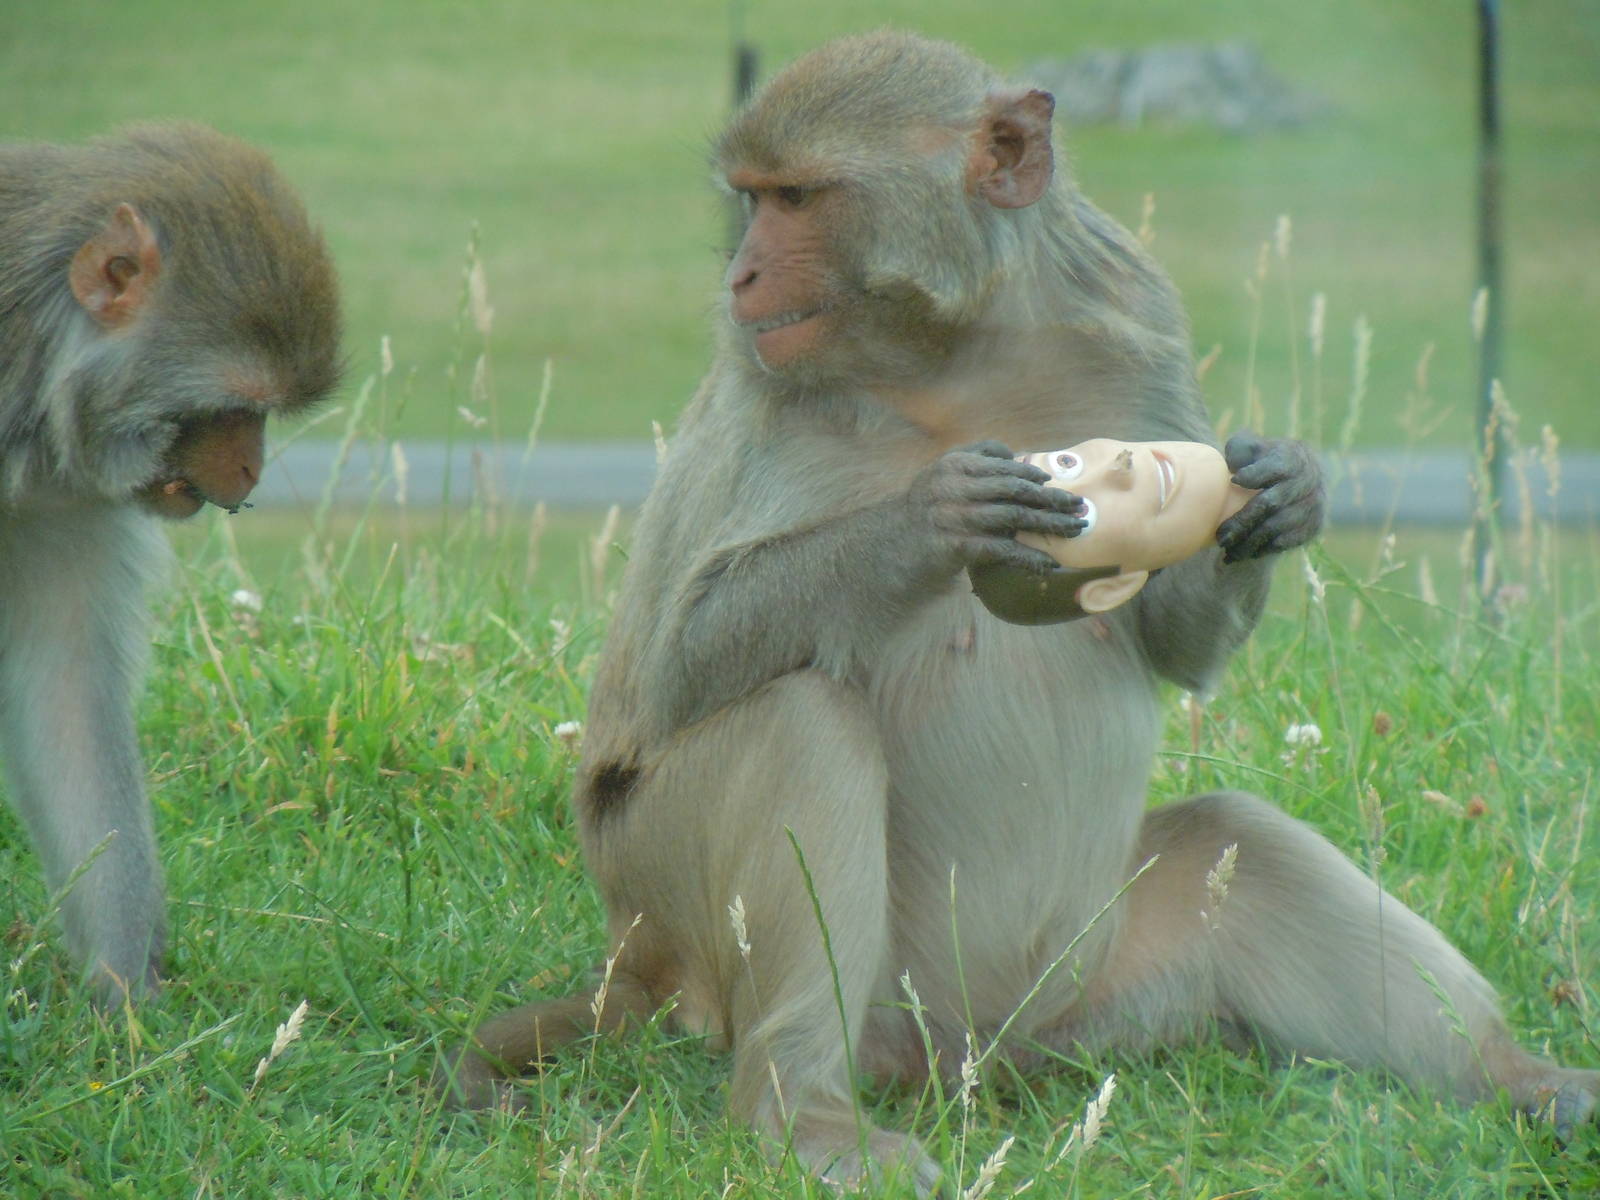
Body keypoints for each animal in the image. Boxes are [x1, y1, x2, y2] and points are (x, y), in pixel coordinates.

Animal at [440, 32, 1597, 1193]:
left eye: (796, 197)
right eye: (755, 199)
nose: (741, 273)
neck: (952, 350)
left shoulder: (1141, 317)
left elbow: (1174, 647)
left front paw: (1279, 493)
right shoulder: (756, 375)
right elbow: (679, 660)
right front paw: (933, 517)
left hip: (1089, 992)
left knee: (1240, 842)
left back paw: (1523, 1080)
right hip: (672, 908)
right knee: (799, 723)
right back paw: (802, 1113)